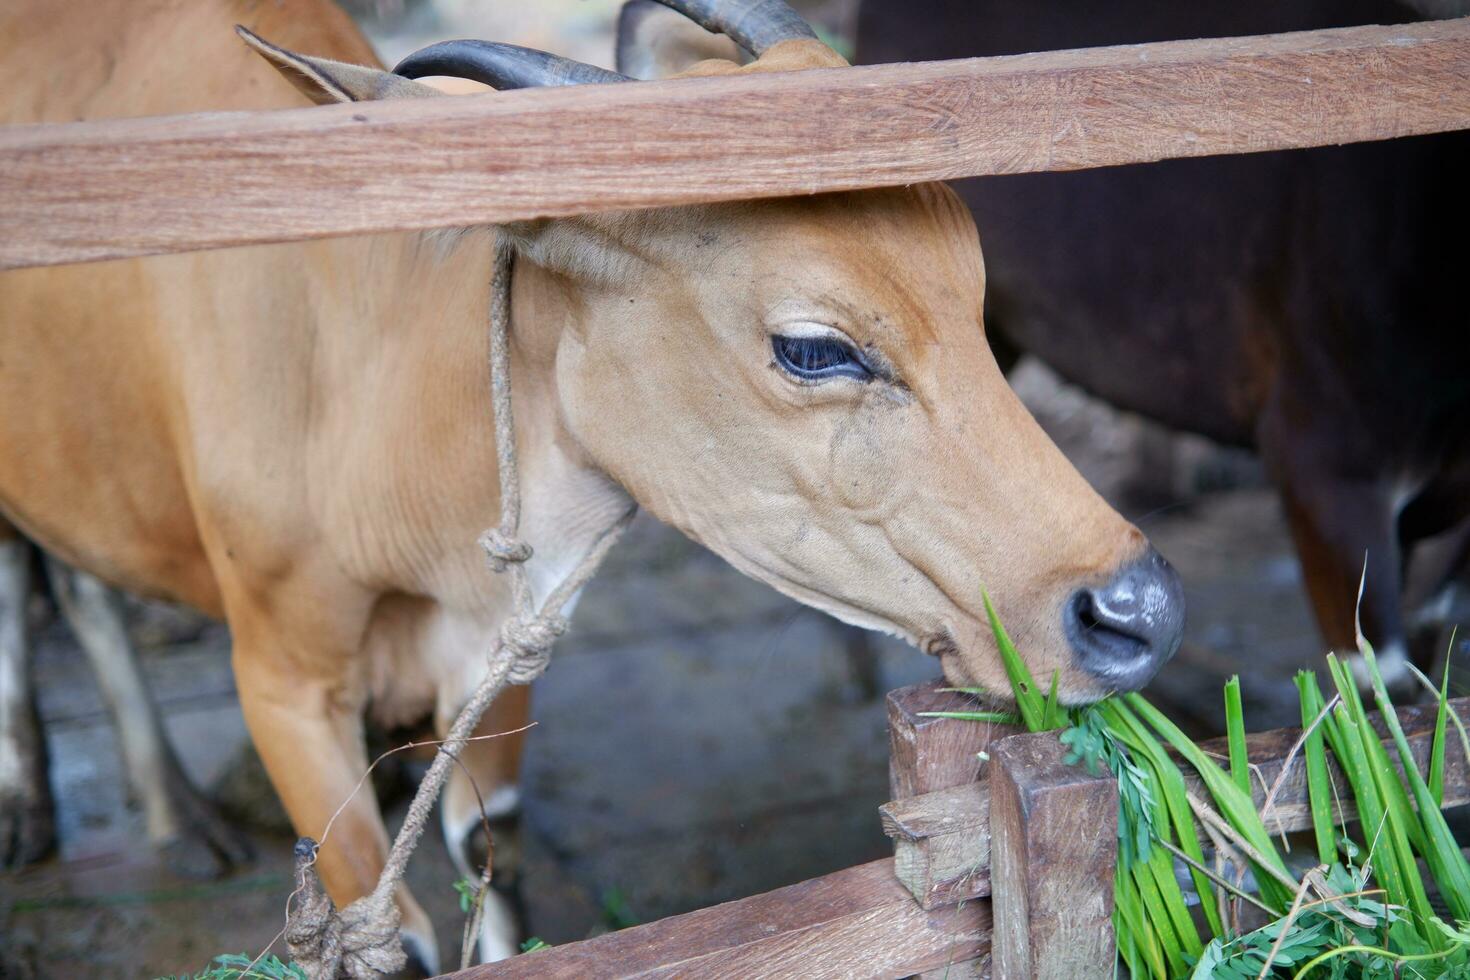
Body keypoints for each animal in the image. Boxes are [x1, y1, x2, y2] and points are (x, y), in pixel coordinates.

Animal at [0, 0, 1181, 963]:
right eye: (812, 347)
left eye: (974, 287)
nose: (1139, 609)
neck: (373, 397)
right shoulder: (284, 682)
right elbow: (394, 931)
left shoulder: (508, 648)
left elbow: (493, 857)